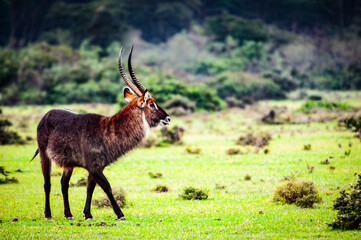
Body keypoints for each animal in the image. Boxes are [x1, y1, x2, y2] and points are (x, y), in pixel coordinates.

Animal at [29, 46, 170, 220]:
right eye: (152, 104)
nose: (168, 118)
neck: (107, 129)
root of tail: (46, 115)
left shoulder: (97, 167)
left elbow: (90, 187)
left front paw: (87, 214)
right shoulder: (94, 166)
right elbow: (107, 187)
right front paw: (120, 214)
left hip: (68, 164)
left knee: (64, 184)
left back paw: (68, 214)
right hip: (44, 155)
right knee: (47, 183)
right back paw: (48, 214)